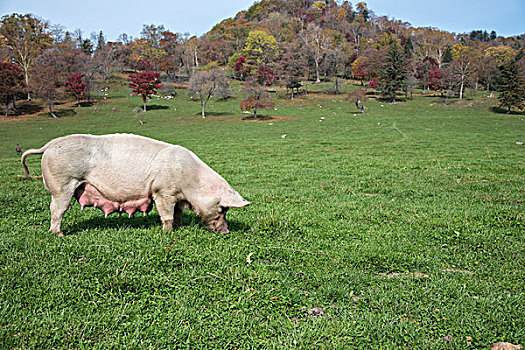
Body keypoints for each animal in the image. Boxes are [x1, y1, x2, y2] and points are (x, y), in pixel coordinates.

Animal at [20, 133, 250, 237]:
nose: (226, 232)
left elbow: (177, 213)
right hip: (62, 185)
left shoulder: (175, 196)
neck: (192, 184)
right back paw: (58, 234)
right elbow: (166, 215)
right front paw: (167, 233)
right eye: (223, 209)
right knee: (56, 210)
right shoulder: (162, 192)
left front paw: (179, 227)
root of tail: (48, 146)